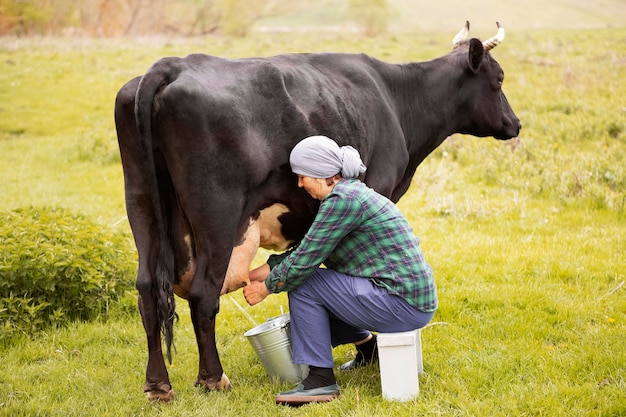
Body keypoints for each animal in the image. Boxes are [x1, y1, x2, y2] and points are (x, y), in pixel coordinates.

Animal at [114, 22, 520, 400]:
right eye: (499, 78)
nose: (515, 124)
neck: (396, 101)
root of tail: (174, 64)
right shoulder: (377, 189)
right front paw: (368, 353)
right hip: (217, 213)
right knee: (203, 294)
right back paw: (213, 379)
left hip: (141, 202)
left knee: (147, 289)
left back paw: (158, 385)